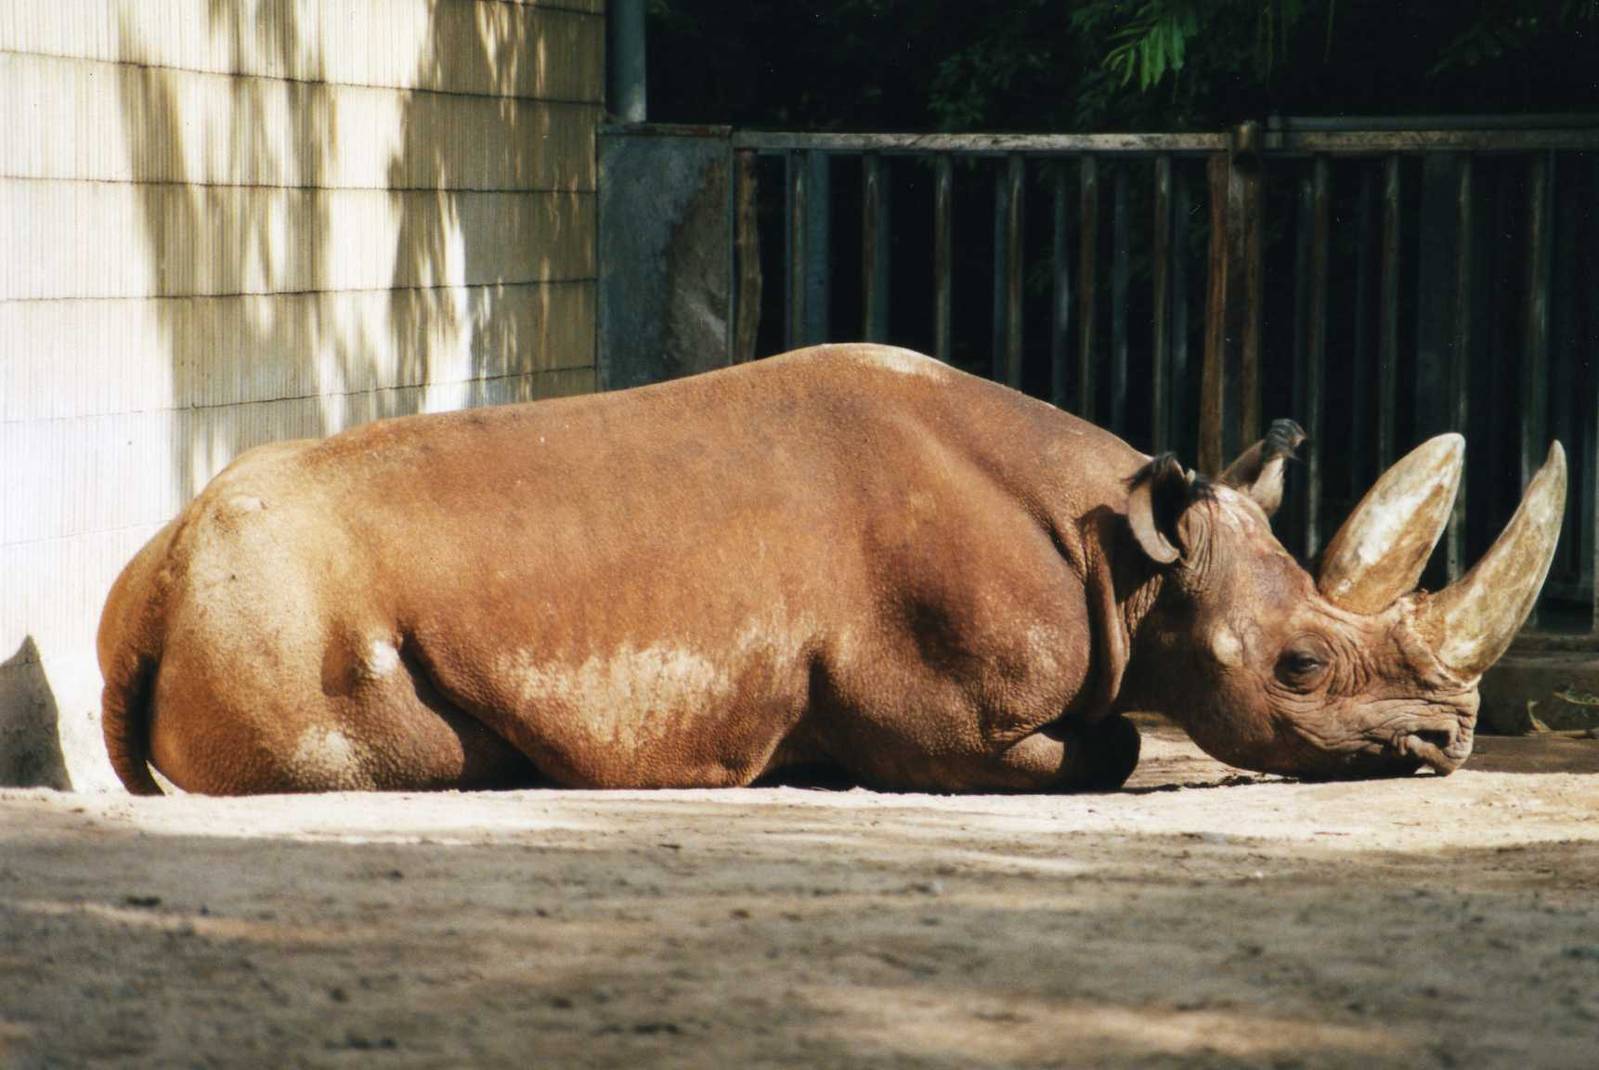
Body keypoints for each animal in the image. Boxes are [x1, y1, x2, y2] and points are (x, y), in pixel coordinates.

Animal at [96, 344, 1565, 796]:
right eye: (1299, 665)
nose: (1449, 738)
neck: (1133, 558)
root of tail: (153, 575)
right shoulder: (934, 704)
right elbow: (1104, 747)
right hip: (273, 593)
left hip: (225, 577)